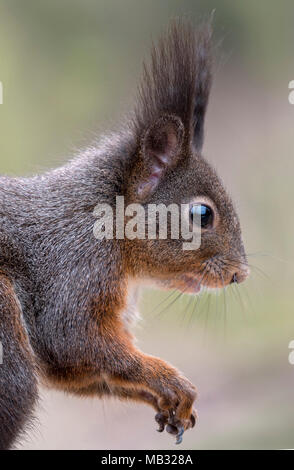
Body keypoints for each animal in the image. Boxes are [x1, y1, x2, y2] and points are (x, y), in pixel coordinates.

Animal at [0, 20, 248, 450]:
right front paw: (173, 381)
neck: (110, 225)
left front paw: (169, 402)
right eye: (202, 214)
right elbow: (75, 340)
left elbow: (84, 371)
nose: (240, 274)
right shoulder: (74, 268)